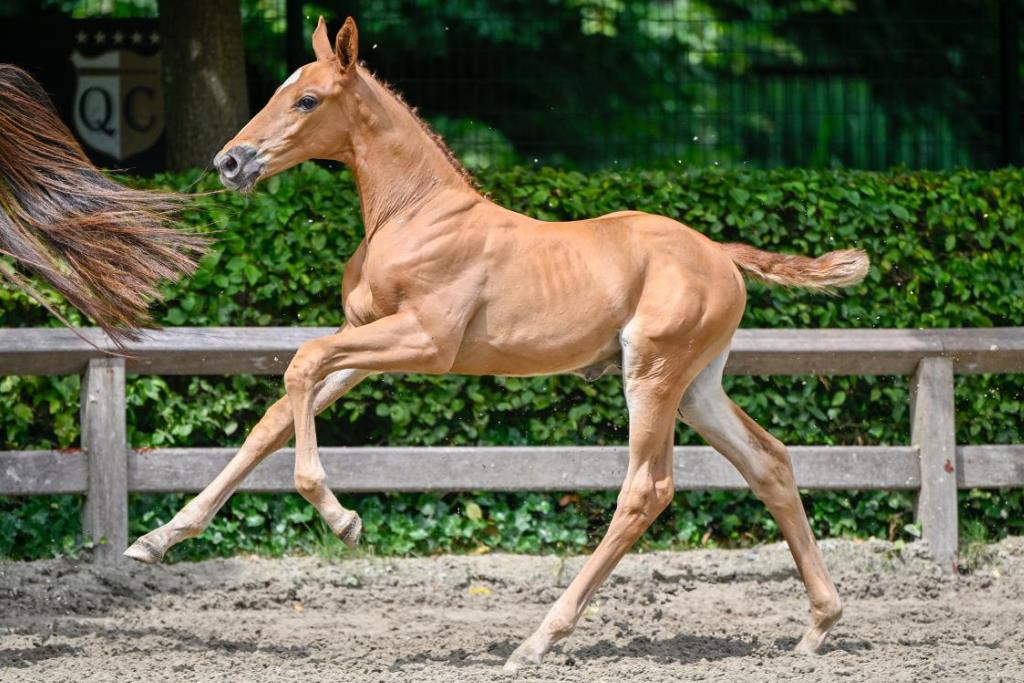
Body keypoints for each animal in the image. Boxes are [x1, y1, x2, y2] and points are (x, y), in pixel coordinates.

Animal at [125, 18, 864, 671]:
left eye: (307, 99)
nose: (230, 161)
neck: (413, 213)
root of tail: (722, 254)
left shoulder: (424, 342)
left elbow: (300, 367)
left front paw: (343, 520)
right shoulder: (362, 339)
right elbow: (278, 413)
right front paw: (155, 539)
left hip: (653, 375)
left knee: (646, 489)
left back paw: (538, 640)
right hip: (698, 387)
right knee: (769, 461)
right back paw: (817, 628)